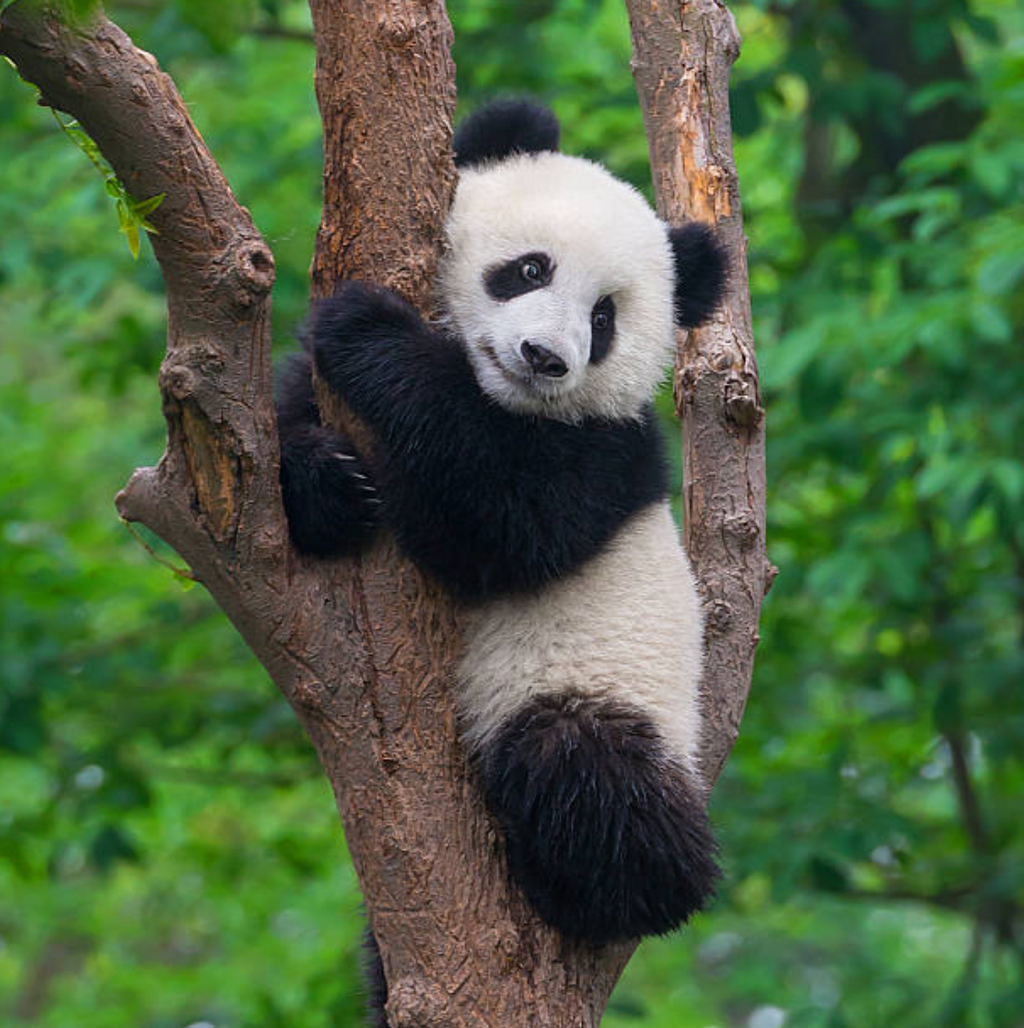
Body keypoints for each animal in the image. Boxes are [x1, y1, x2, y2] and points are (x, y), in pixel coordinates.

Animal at [277, 99, 726, 966]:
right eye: (529, 270)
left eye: (603, 318)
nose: (545, 357)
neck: (502, 395)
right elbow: (277, 438)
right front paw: (327, 484)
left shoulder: (608, 453)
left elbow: (500, 525)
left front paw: (368, 331)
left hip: (603, 690)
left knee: (587, 772)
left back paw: (604, 888)